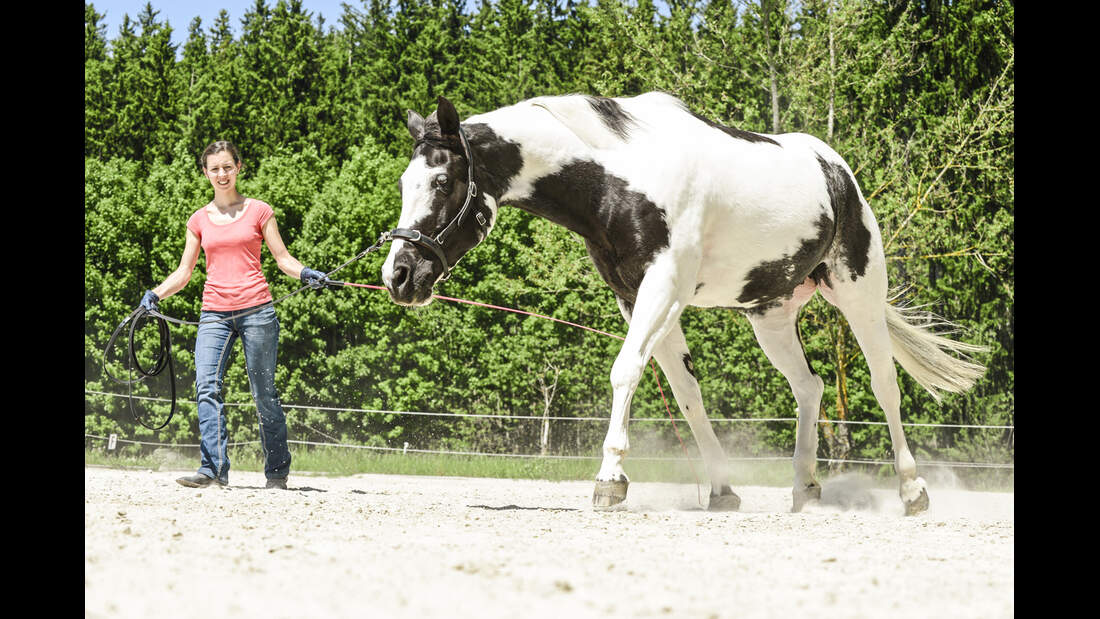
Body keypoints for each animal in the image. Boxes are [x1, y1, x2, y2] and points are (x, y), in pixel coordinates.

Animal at [380, 93, 986, 515]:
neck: (622, 178)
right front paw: (721, 491)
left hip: (858, 293)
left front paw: (610, 481)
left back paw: (912, 491)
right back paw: (805, 489)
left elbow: (626, 371)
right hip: (771, 315)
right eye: (407, 182)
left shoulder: (664, 288)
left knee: (885, 386)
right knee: (809, 388)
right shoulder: (636, 297)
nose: (399, 276)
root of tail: (838, 171)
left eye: (442, 181)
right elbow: (687, 395)